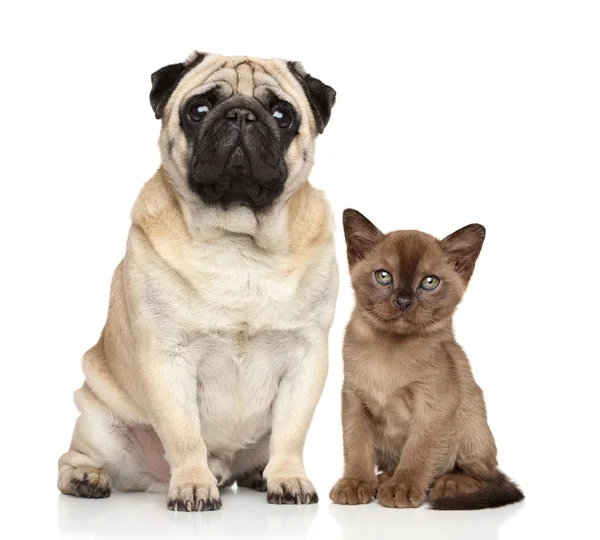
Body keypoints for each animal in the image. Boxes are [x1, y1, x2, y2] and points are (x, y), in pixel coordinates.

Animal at [58, 50, 340, 510]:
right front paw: (192, 484)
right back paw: (87, 478)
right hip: (100, 425)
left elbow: (291, 433)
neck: (237, 239)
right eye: (199, 110)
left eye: (283, 115)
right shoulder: (167, 359)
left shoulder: (306, 358)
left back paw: (258, 474)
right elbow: (184, 434)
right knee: (74, 458)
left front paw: (288, 478)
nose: (241, 114)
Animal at [328, 209, 524, 508]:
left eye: (430, 282)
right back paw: (384, 479)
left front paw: (403, 488)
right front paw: (355, 484)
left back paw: (446, 485)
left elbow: (418, 450)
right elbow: (356, 447)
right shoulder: (354, 399)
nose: (403, 301)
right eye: (383, 276)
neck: (390, 350)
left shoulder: (432, 405)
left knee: (487, 475)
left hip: (471, 423)